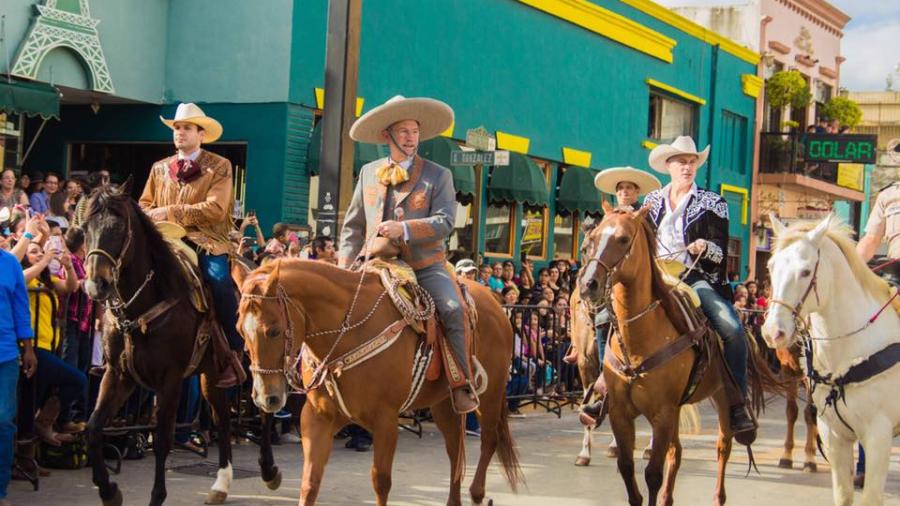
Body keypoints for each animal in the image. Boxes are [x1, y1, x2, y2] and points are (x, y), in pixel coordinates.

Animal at [84, 184, 282, 506]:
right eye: (85, 228)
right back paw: (221, 484)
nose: (95, 285)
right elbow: (92, 429)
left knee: (265, 406)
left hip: (259, 363)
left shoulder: (171, 379)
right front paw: (109, 491)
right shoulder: (118, 375)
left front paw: (156, 496)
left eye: (119, 227)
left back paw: (269, 470)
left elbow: (163, 440)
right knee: (222, 419)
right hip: (213, 374)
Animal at [236, 258, 524, 506]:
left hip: (490, 395)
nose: (266, 397)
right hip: (444, 403)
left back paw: (477, 493)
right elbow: (310, 482)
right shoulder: (319, 417)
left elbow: (381, 481)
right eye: (240, 330)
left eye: (273, 330)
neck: (346, 332)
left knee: (489, 440)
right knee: (456, 449)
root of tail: (494, 302)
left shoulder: (385, 420)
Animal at [576, 203, 780, 506]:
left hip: (722, 397)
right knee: (677, 452)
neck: (639, 338)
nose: (589, 284)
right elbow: (627, 469)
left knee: (722, 447)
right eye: (593, 238)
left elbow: (652, 474)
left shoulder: (662, 413)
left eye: (623, 239)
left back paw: (719, 493)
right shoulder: (621, 413)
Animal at [760, 214, 900, 506]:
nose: (773, 332)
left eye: (805, 271)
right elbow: (843, 494)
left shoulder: (879, 436)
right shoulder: (834, 435)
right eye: (771, 266)